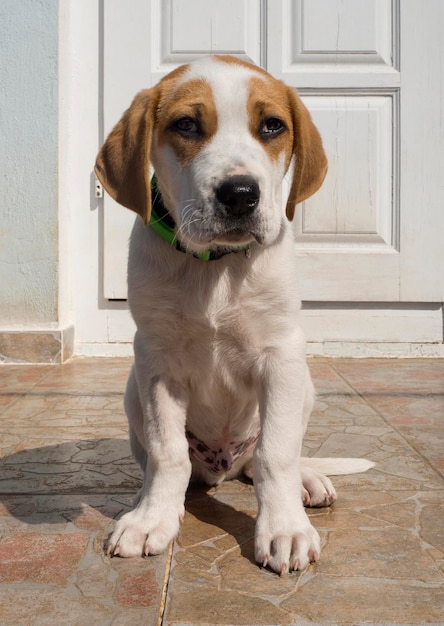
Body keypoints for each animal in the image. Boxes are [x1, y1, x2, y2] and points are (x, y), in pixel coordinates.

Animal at [95, 56, 372, 572]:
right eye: (185, 124)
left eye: (272, 126)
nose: (240, 194)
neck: (216, 267)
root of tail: (224, 466)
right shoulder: (157, 360)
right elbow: (167, 453)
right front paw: (151, 520)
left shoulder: (281, 354)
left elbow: (276, 453)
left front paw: (283, 528)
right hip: (133, 391)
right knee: (175, 464)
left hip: (303, 385)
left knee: (266, 458)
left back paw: (307, 481)